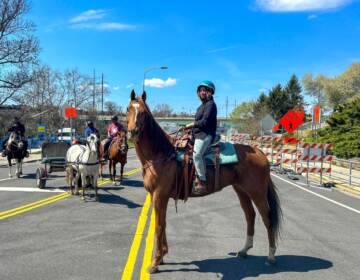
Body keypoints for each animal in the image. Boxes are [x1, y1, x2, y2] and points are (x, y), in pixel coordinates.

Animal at [126, 90, 282, 274]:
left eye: (143, 112)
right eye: (128, 109)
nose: (133, 132)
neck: (161, 154)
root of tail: (260, 153)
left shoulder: (160, 195)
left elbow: (159, 226)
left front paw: (155, 262)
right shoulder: (155, 195)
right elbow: (161, 223)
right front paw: (162, 256)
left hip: (257, 193)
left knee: (267, 219)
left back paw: (271, 257)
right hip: (242, 191)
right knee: (250, 215)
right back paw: (244, 250)